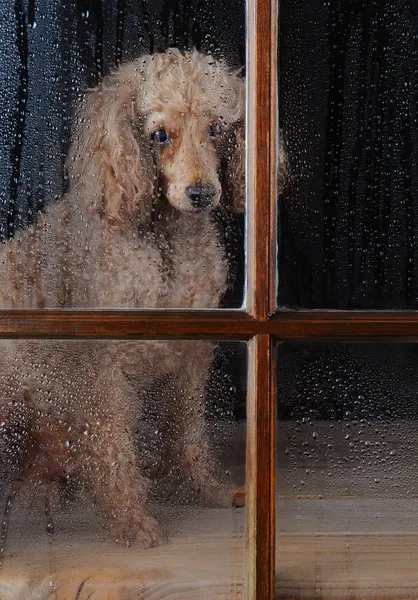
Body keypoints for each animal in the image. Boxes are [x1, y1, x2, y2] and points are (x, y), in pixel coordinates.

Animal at [0, 50, 245, 548]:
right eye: (159, 135)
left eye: (216, 128)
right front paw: (131, 521)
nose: (201, 193)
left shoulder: (191, 358)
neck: (165, 249)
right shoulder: (103, 370)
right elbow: (112, 446)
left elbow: (187, 432)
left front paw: (200, 487)